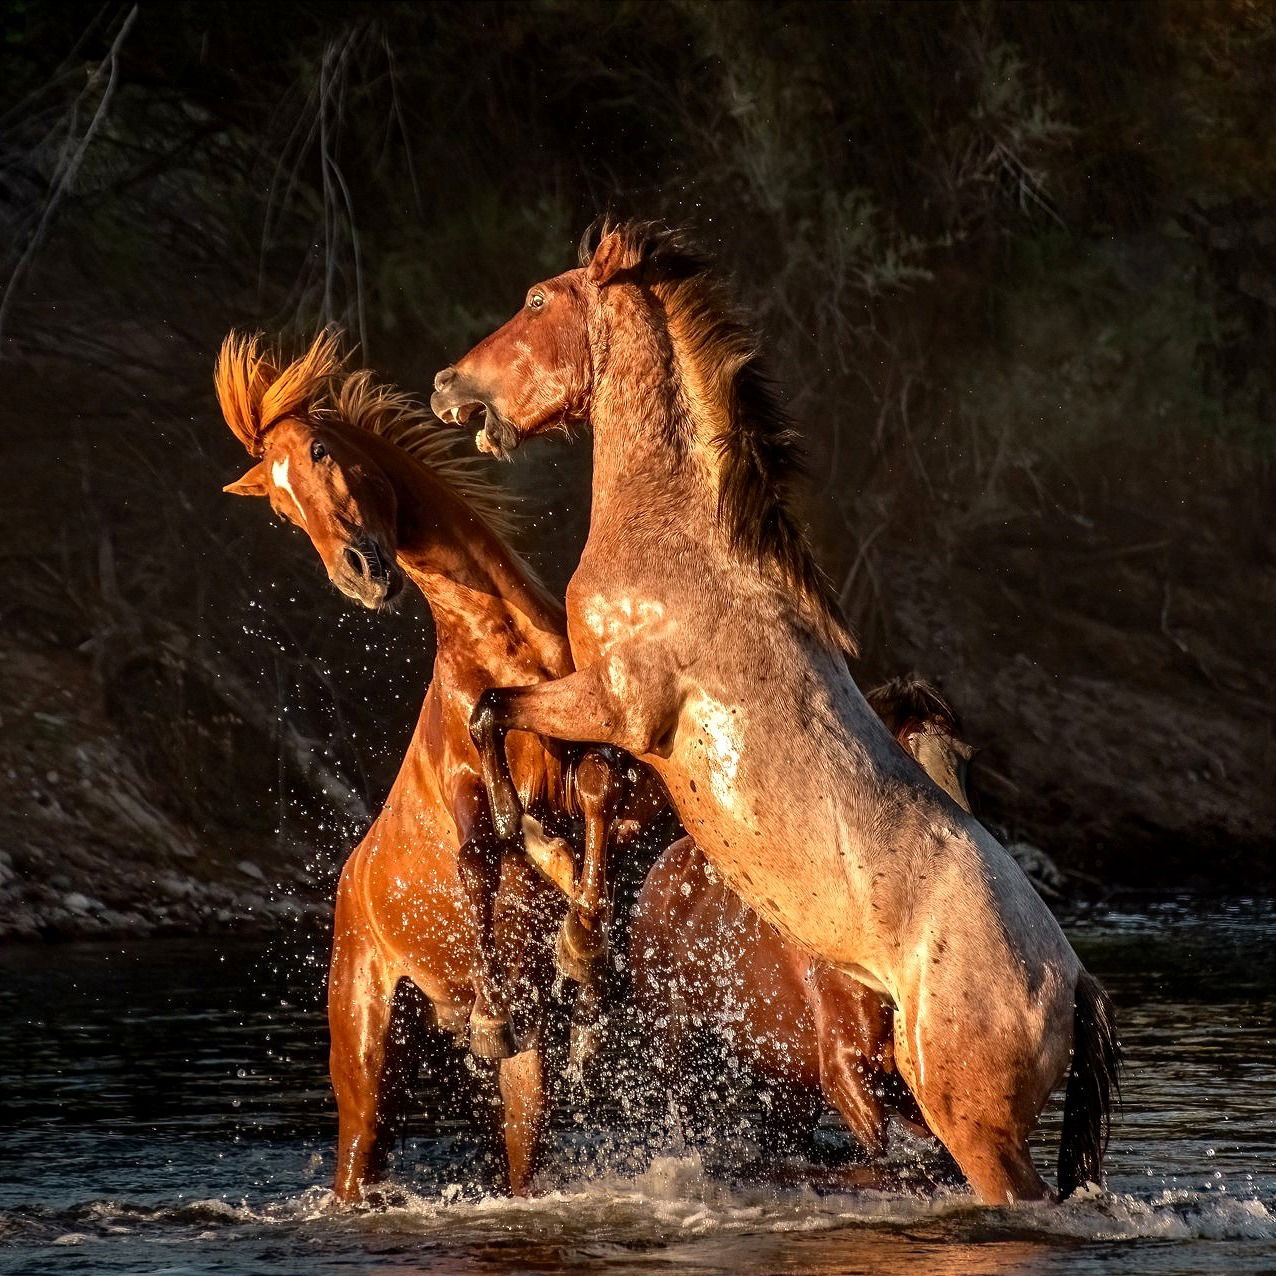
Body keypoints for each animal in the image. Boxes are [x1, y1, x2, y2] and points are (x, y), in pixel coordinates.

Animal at [211, 331, 658, 1194]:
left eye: (320, 451)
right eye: (280, 508)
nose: (359, 574)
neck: (504, 649)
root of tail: (351, 884)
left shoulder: (623, 776)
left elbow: (592, 800)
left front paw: (586, 959)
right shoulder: (459, 789)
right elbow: (478, 854)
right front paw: (495, 1011)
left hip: (510, 1088)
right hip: (368, 1072)